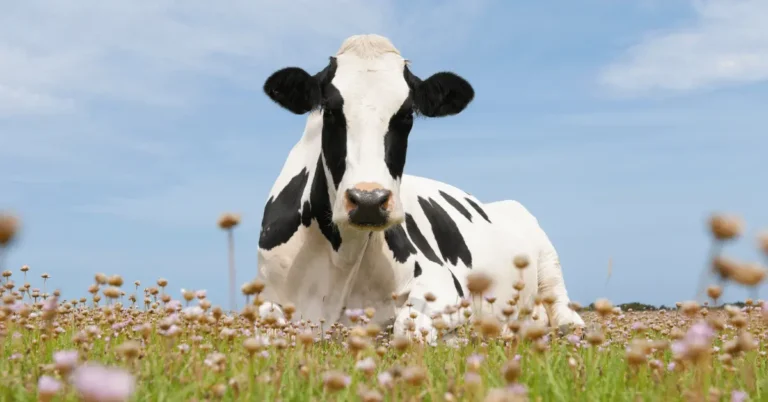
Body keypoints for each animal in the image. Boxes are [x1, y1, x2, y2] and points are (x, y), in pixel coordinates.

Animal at [254, 34, 585, 344]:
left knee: (564, 311)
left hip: (547, 257)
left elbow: (408, 327)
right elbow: (265, 325)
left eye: (406, 114)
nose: (368, 201)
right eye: (332, 111)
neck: (341, 261)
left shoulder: (443, 284)